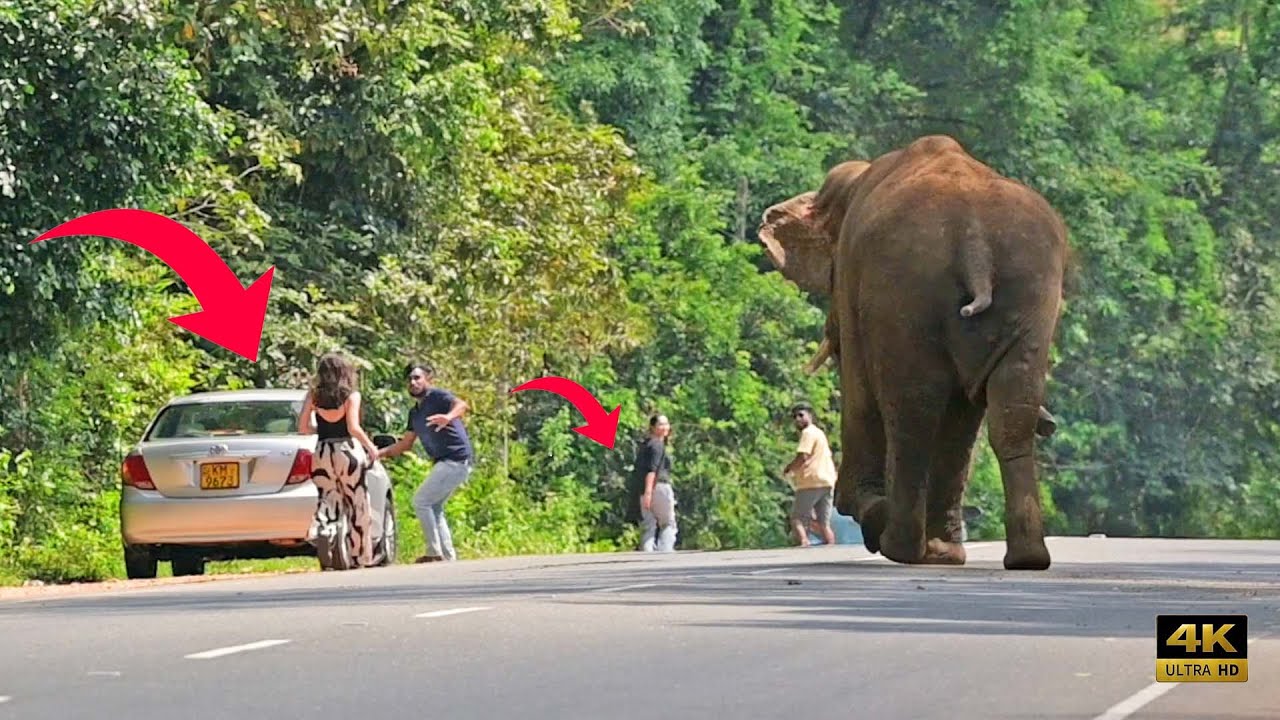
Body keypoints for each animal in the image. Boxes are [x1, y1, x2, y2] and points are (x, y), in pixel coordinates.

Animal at [757, 135, 1069, 570]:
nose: (1052, 424)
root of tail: (974, 240)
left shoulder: (853, 276)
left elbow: (858, 388)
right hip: (1028, 292)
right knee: (1006, 413)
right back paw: (1009, 557)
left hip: (904, 292)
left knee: (912, 411)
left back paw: (898, 544)